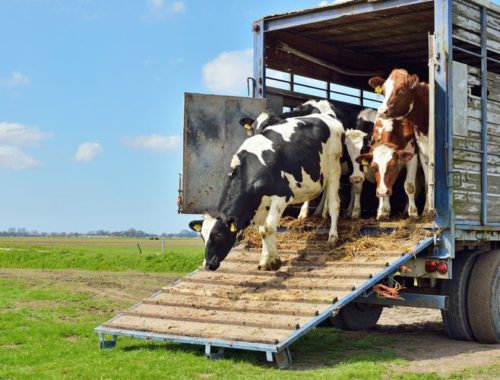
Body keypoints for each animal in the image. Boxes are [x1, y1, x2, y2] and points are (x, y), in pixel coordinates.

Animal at [188, 101, 344, 270]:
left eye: (218, 235)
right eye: (202, 236)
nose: (208, 264)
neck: (252, 168)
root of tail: (327, 116)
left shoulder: (282, 195)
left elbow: (269, 228)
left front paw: (274, 261)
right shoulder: (261, 204)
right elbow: (262, 230)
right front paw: (265, 259)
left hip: (334, 167)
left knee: (335, 203)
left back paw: (332, 236)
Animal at [368, 70, 430, 212]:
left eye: (401, 89)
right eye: (383, 91)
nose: (382, 111)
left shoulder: (414, 155)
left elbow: (410, 185)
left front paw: (414, 212)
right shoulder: (423, 152)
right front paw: (382, 211)